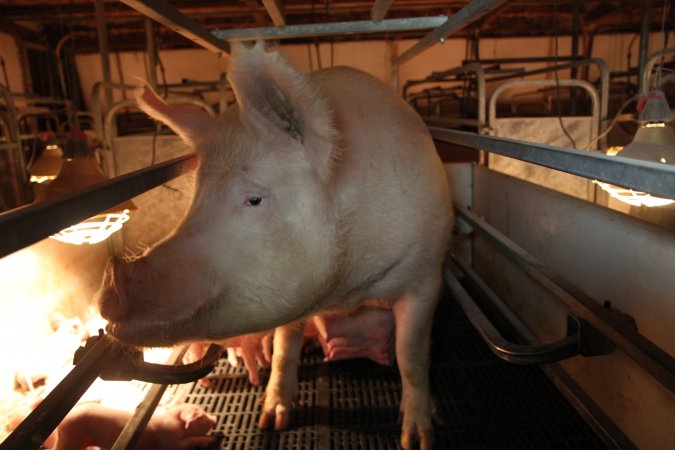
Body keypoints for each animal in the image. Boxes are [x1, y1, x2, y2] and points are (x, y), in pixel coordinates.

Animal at [96, 41, 454, 446]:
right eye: (196, 196)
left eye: (254, 199)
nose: (110, 286)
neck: (348, 289)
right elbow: (285, 348)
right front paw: (272, 420)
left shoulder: (426, 273)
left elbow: (412, 356)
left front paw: (418, 439)